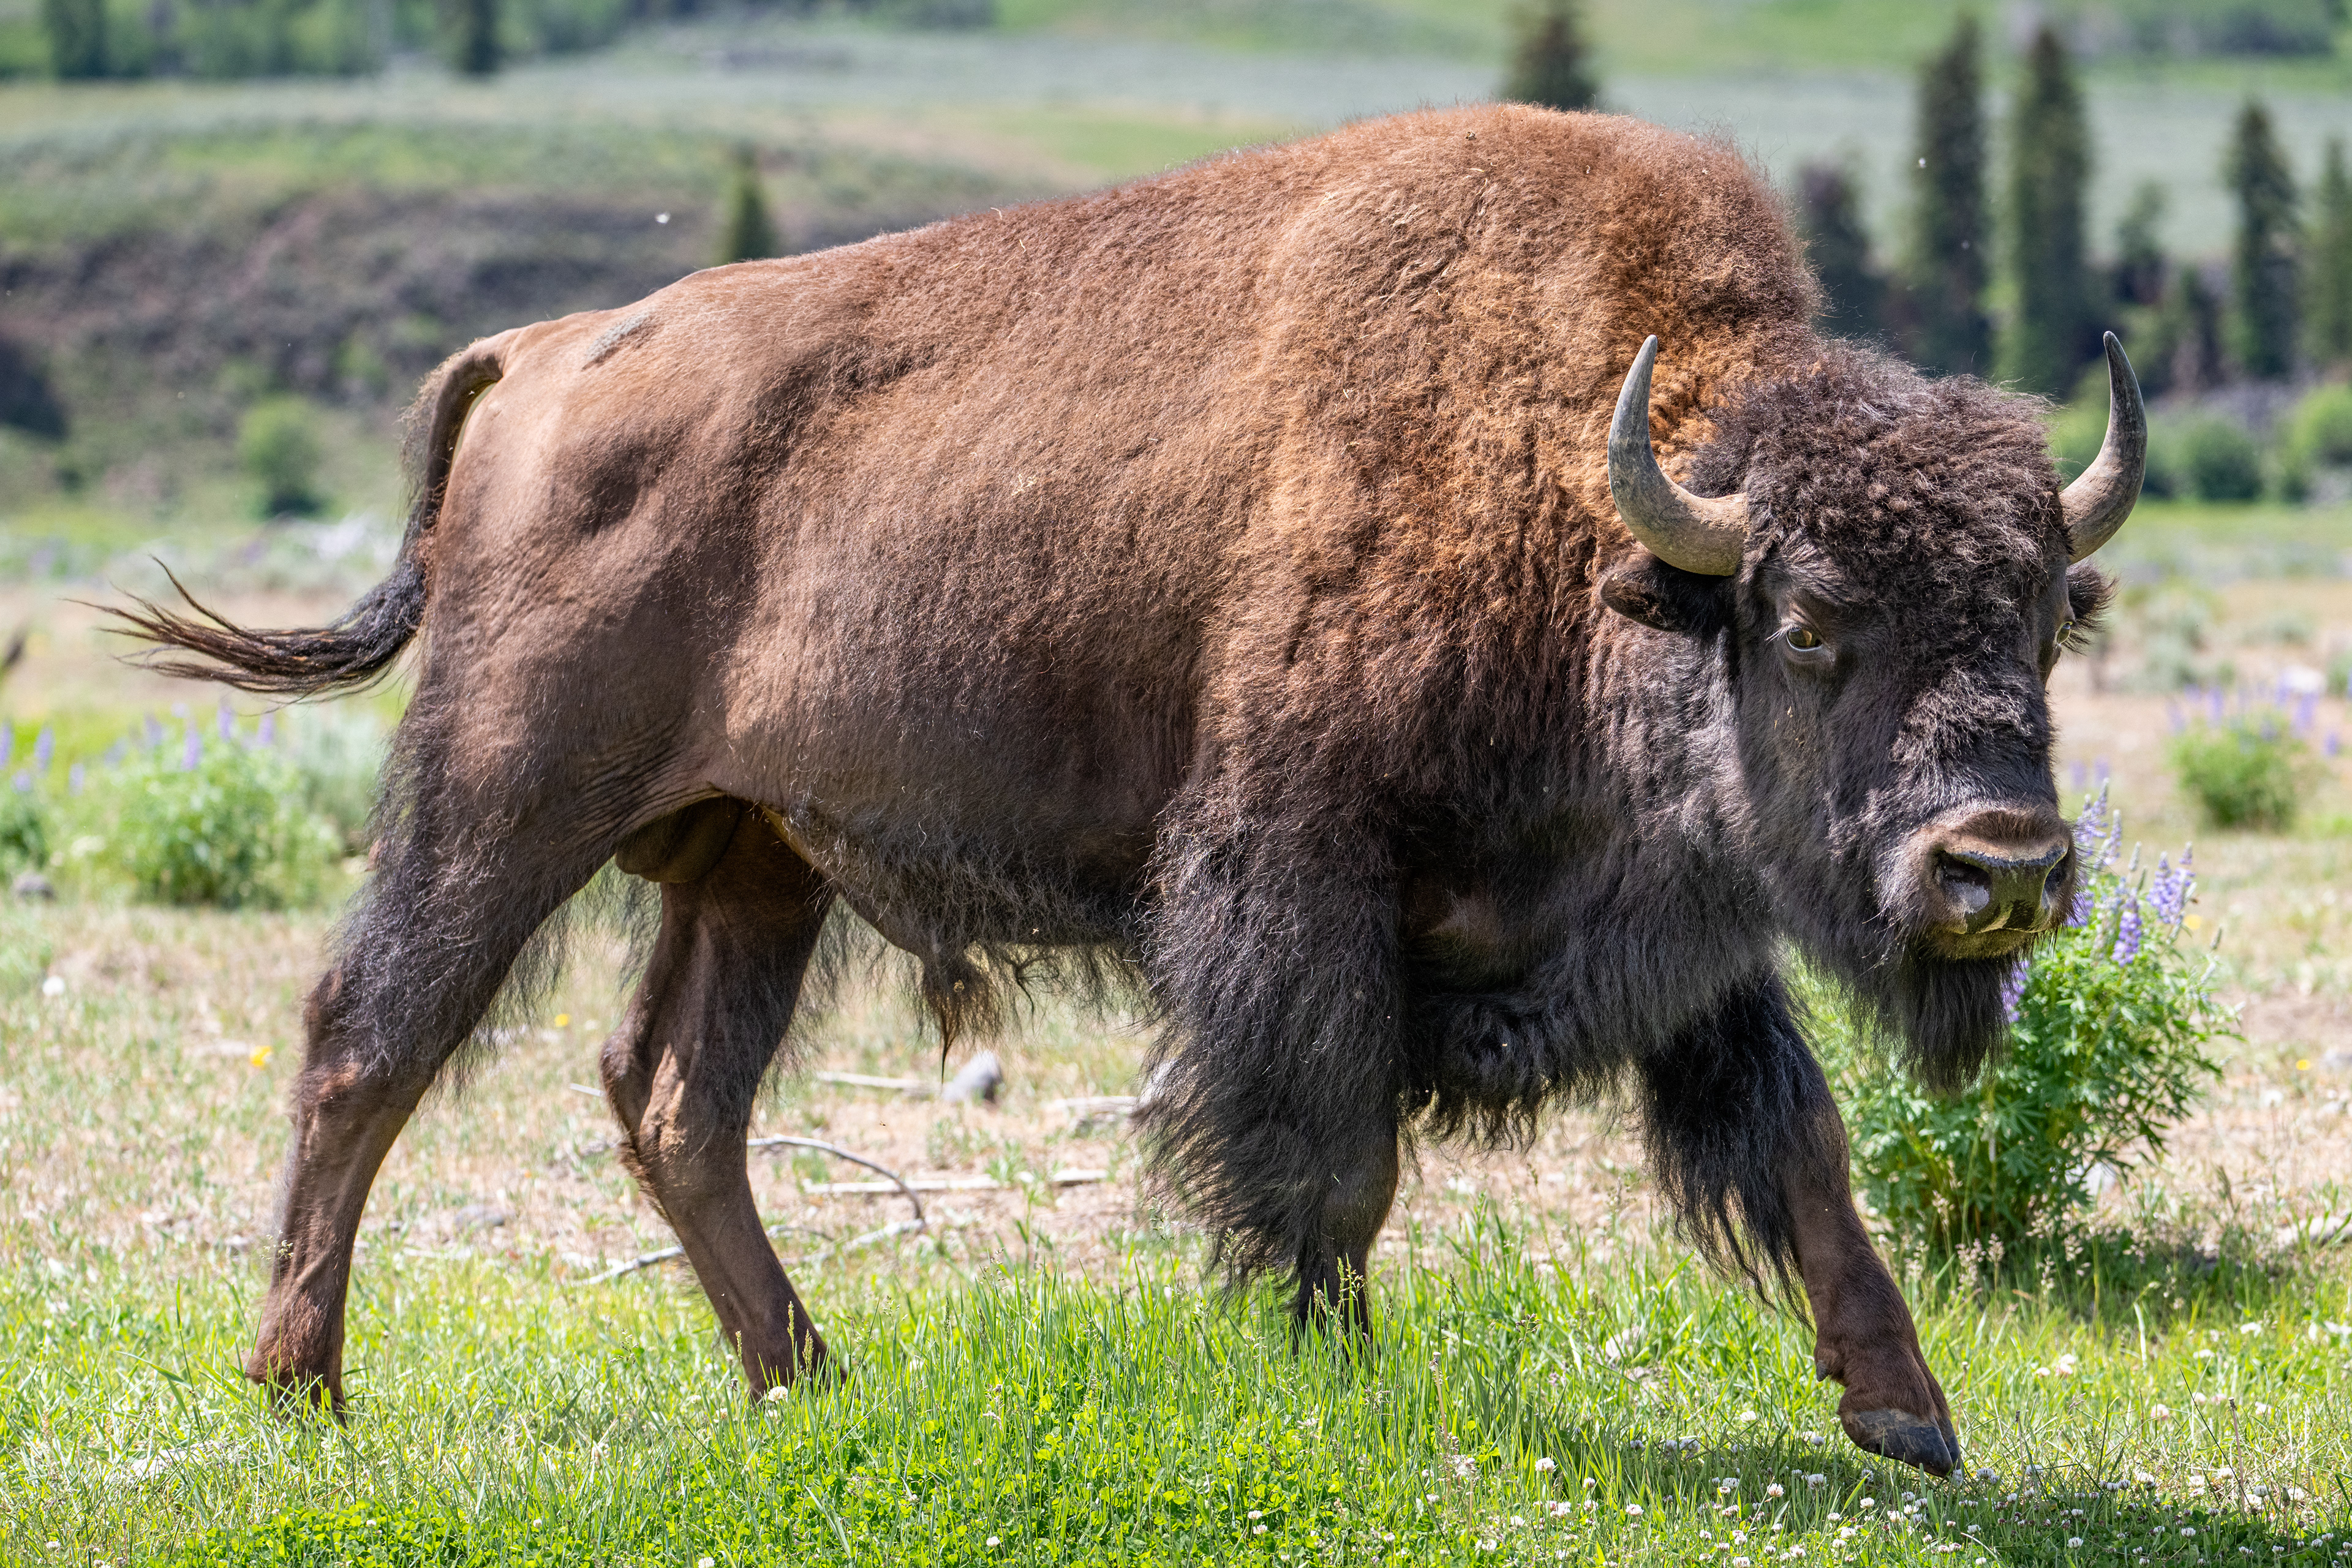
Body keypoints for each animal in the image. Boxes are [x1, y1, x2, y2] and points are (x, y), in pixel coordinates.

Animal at [120, 103, 2142, 1477]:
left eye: (2044, 612)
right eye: (1805, 622)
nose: (2000, 865)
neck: (1590, 509)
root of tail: (540, 355)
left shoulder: (1677, 929)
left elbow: (1796, 1141)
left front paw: (1909, 1414)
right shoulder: (1293, 890)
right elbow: (1327, 1158)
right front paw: (1325, 1371)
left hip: (756, 861)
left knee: (674, 1095)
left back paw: (807, 1375)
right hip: (504, 794)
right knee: (368, 1035)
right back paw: (302, 1384)